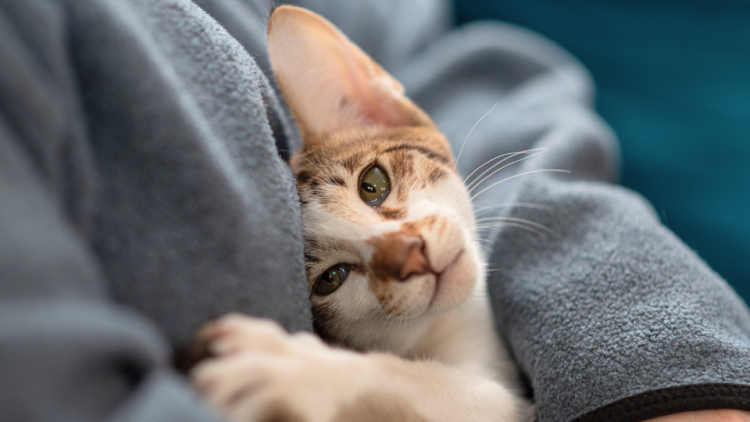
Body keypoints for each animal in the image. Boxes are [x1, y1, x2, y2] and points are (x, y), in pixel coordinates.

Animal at [192, 5, 536, 422]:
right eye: (332, 278)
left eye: (373, 184)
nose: (412, 253)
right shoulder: (515, 405)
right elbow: (451, 391)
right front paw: (299, 372)